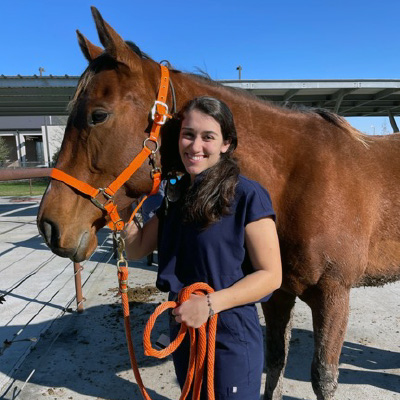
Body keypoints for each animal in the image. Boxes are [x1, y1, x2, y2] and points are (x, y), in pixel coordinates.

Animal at [36, 7, 398, 400]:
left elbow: (323, 378)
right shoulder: (277, 292)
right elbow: (274, 360)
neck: (299, 178)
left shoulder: (334, 295)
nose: (49, 225)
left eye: (98, 115)